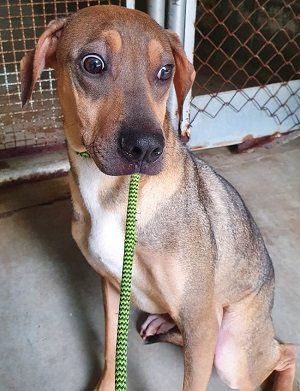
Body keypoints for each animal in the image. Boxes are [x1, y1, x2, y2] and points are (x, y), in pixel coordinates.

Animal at [19, 4, 296, 390]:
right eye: (93, 64)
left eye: (165, 71)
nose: (146, 149)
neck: (114, 194)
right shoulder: (111, 286)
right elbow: (110, 350)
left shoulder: (201, 323)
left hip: (233, 354)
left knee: (286, 352)